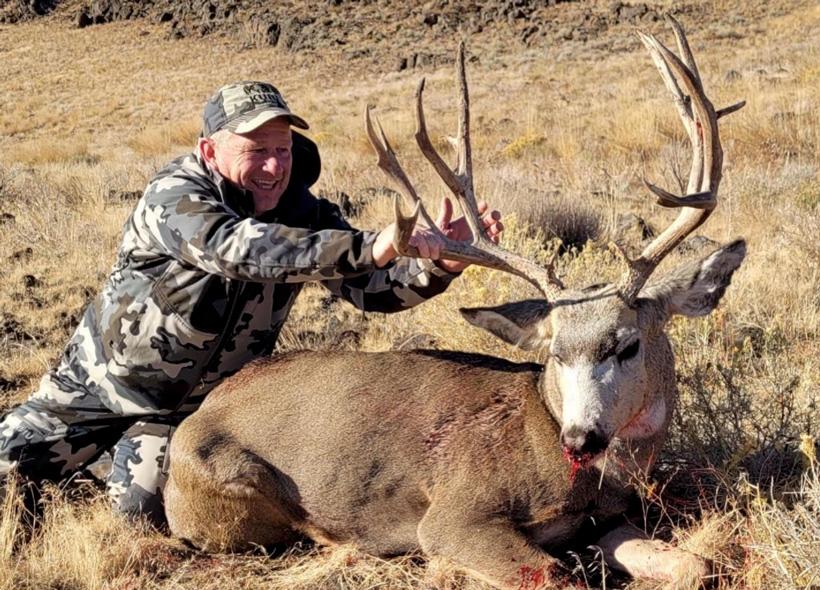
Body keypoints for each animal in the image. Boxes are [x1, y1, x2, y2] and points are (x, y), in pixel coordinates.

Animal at [164, 18, 747, 589]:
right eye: (556, 354)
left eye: (627, 345)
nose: (580, 438)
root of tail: (196, 417)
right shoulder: (455, 512)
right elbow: (554, 575)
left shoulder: (610, 520)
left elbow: (696, 565)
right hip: (237, 492)